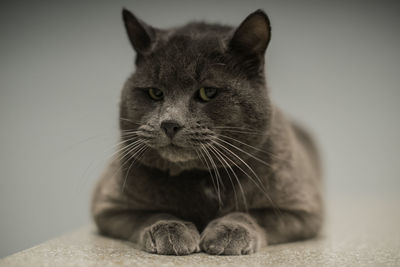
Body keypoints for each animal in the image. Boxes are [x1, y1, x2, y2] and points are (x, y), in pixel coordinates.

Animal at [90, 7, 322, 255]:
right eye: (154, 92)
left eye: (207, 92)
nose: (170, 123)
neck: (199, 177)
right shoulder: (107, 206)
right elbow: (150, 214)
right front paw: (170, 230)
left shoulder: (302, 209)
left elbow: (250, 214)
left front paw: (229, 233)